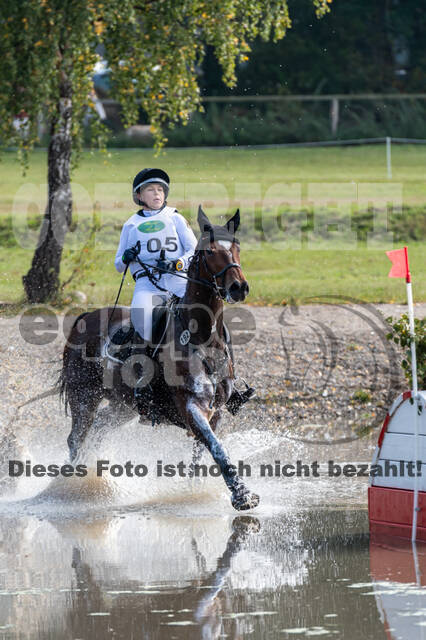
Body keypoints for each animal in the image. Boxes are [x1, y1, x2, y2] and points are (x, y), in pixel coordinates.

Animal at [60, 208, 260, 512]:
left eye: (236, 247)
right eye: (210, 251)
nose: (239, 287)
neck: (202, 336)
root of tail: (84, 317)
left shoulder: (215, 412)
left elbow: (202, 454)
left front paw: (191, 492)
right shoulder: (191, 406)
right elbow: (217, 448)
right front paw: (242, 495)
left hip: (122, 406)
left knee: (98, 430)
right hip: (84, 396)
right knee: (76, 437)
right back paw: (71, 486)